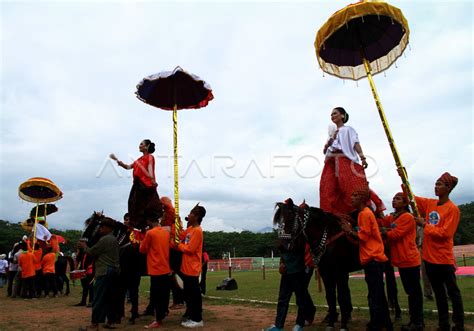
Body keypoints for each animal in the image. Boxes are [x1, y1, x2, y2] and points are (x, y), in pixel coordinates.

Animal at [272, 200, 362, 331]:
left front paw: (343, 325)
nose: (281, 247)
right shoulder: (326, 272)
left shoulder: (340, 272)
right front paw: (330, 324)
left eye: (290, 219)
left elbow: (341, 297)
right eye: (278, 222)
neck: (328, 236)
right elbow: (330, 297)